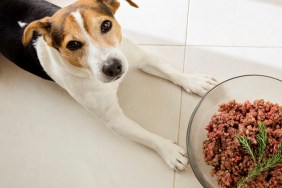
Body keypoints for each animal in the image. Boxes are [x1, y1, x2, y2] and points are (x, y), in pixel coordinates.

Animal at [0, 0, 217, 170]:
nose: (112, 67)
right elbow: (146, 135)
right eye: (73, 45)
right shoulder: (115, 119)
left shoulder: (141, 57)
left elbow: (170, 71)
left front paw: (194, 81)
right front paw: (168, 149)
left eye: (106, 25)